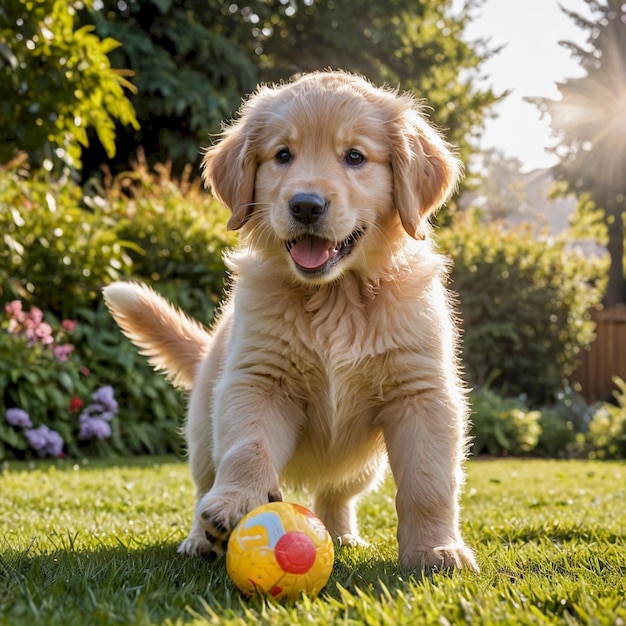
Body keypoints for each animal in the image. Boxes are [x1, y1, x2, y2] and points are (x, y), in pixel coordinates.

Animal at [105, 69, 478, 572]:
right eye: (283, 155)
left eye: (355, 156)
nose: (305, 205)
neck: (336, 296)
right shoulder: (258, 380)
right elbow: (248, 449)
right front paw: (233, 504)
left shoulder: (422, 394)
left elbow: (428, 482)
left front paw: (436, 549)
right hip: (203, 429)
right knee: (205, 480)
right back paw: (201, 537)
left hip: (364, 465)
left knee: (335, 494)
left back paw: (341, 535)